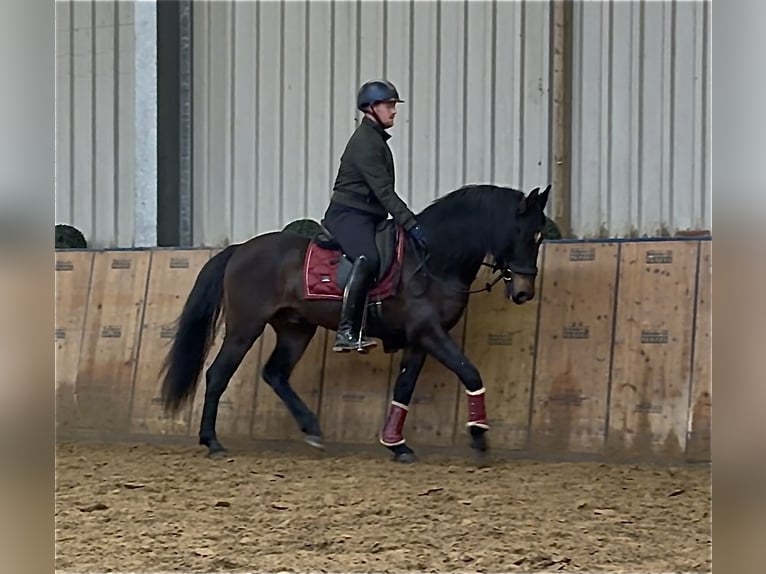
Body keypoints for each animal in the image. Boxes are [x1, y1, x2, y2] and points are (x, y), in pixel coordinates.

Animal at [160, 183, 551, 462]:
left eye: (541, 236)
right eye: (524, 234)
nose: (524, 292)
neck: (432, 259)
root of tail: (240, 249)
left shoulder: (418, 339)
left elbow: (404, 388)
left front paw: (396, 444)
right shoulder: (429, 333)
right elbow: (470, 372)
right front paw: (479, 435)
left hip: (296, 329)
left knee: (275, 374)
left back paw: (312, 430)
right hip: (245, 328)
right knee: (218, 374)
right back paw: (212, 441)